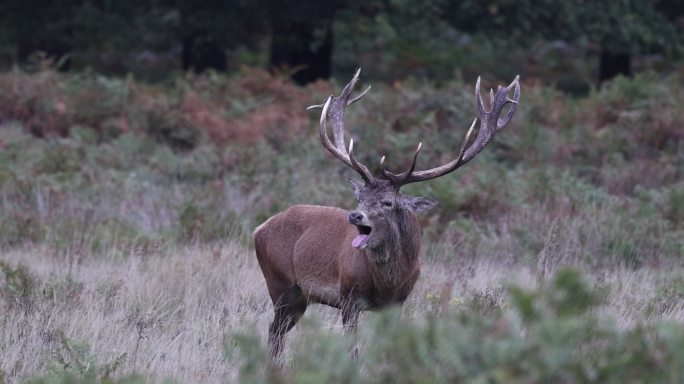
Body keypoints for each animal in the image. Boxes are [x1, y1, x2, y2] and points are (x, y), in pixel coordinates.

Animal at [254, 69, 520, 360]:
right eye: (360, 198)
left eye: (387, 202)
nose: (355, 216)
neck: (387, 283)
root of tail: (259, 228)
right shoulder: (348, 297)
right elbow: (352, 350)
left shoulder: (398, 302)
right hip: (281, 284)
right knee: (274, 331)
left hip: (299, 297)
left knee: (276, 332)